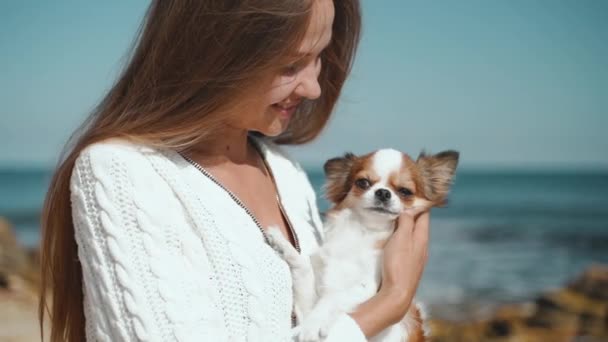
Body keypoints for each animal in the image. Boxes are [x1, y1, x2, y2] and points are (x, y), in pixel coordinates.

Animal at [268, 148, 458, 340]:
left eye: (405, 191)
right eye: (363, 183)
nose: (383, 192)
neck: (363, 231)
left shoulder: (366, 287)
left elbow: (332, 298)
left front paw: (311, 325)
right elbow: (304, 268)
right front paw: (282, 245)